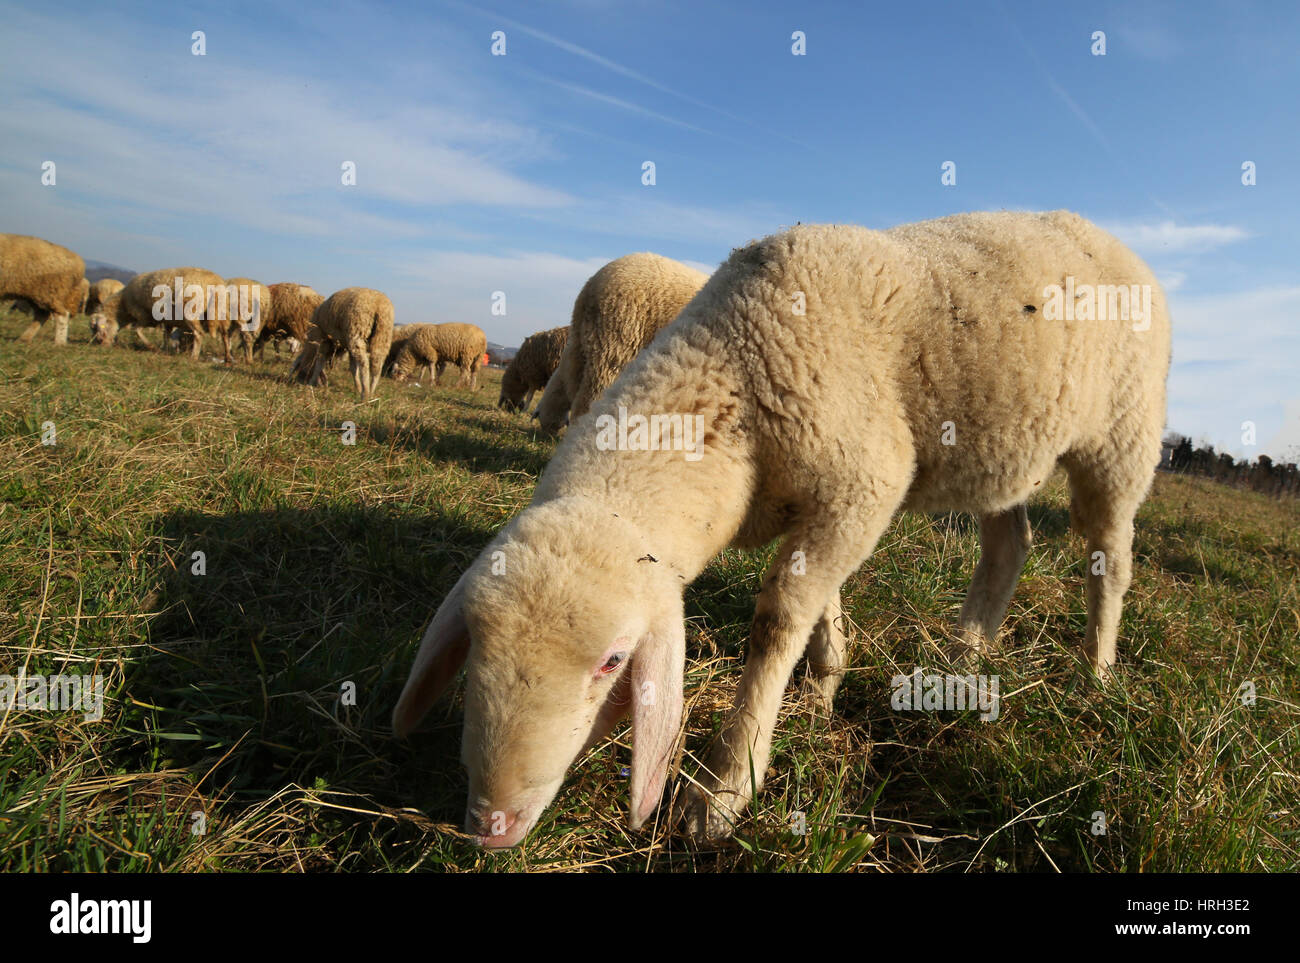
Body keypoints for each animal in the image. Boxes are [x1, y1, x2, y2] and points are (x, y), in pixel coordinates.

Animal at [90, 267, 225, 358]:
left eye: (97, 327)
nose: (100, 344)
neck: (123, 306)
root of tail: (215, 282)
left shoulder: (144, 316)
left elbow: (137, 330)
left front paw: (152, 347)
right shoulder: (168, 321)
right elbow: (165, 335)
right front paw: (165, 349)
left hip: (190, 312)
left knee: (198, 334)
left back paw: (194, 357)